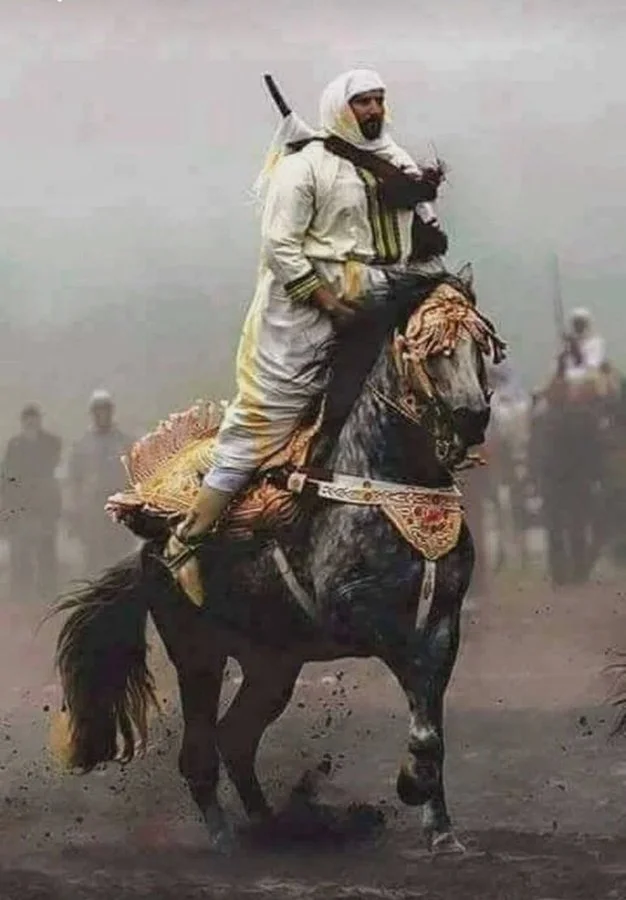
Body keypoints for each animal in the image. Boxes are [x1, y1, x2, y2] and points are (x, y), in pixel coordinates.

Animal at [52, 265, 505, 855]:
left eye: (480, 344)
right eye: (431, 348)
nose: (473, 417)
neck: (387, 481)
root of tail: (152, 546)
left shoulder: (444, 620)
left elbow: (432, 723)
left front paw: (442, 832)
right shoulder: (361, 616)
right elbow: (420, 708)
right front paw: (411, 786)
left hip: (273, 662)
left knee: (236, 738)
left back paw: (271, 825)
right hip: (198, 652)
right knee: (200, 751)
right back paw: (227, 840)